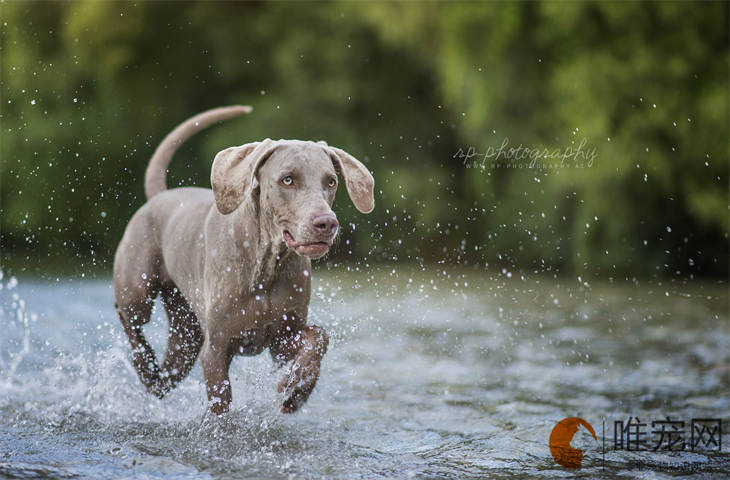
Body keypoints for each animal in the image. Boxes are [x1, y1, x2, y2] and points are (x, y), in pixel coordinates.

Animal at [115, 107, 376, 414]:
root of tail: (160, 196)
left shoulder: (282, 338)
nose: (326, 223)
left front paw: (296, 391)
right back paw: (144, 365)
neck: (266, 266)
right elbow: (222, 405)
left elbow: (319, 337)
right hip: (138, 290)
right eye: (288, 179)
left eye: (331, 181)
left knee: (166, 373)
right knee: (130, 318)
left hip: (186, 336)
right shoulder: (216, 350)